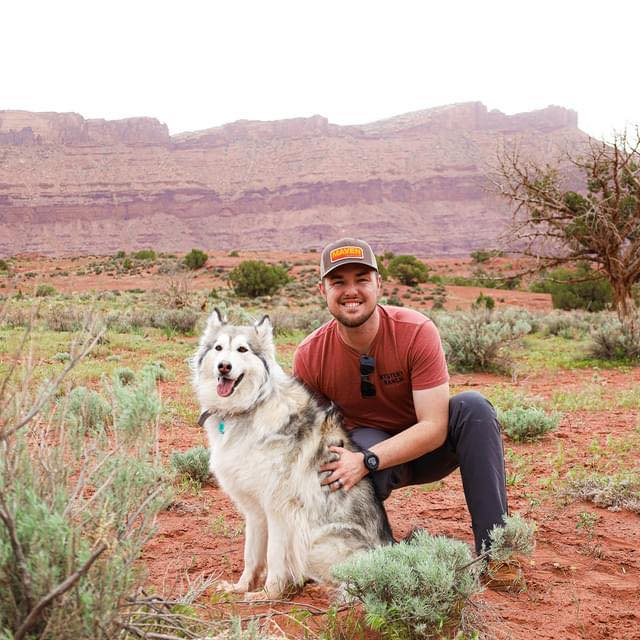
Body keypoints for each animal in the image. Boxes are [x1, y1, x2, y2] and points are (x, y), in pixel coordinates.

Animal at [190, 310, 392, 600]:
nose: (223, 367)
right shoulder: (255, 510)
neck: (250, 407)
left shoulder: (280, 509)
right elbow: (252, 554)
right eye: (218, 348)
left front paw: (268, 594)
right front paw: (241, 587)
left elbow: (274, 557)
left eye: (242, 349)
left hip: (316, 543)